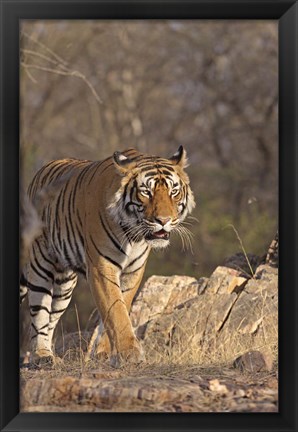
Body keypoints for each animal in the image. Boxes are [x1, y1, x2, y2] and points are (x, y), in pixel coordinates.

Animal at [21, 147, 197, 366]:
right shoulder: (102, 267)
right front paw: (129, 353)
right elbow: (115, 310)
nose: (163, 220)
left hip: (64, 284)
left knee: (51, 318)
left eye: (173, 191)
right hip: (41, 267)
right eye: (146, 192)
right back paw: (42, 355)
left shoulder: (133, 271)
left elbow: (119, 307)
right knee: (39, 315)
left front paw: (105, 354)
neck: (133, 236)